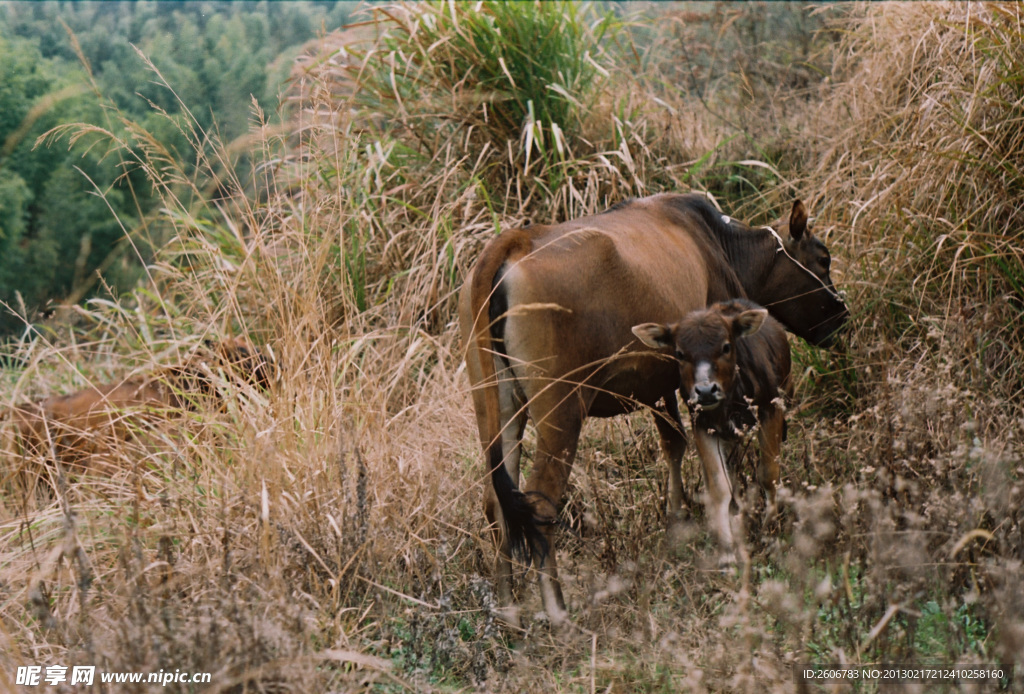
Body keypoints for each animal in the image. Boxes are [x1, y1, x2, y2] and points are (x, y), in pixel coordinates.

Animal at [462, 193, 847, 626]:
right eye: (823, 258)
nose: (842, 316)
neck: (719, 244)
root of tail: (513, 242)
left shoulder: (661, 382)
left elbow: (675, 444)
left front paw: (676, 521)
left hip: (496, 407)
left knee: (497, 501)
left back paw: (509, 611)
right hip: (560, 410)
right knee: (541, 502)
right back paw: (558, 611)